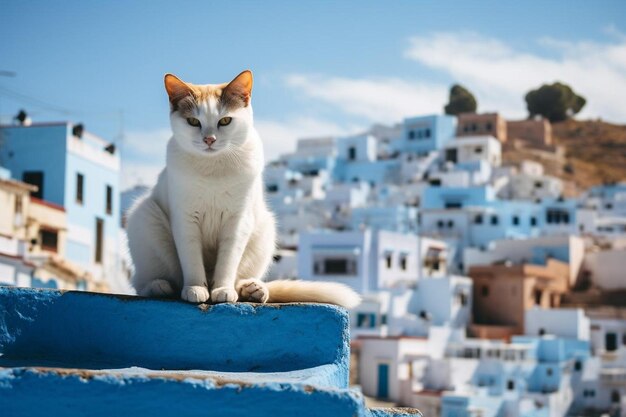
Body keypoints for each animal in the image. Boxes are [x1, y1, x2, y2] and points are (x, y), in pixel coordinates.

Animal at [125, 69, 360, 308]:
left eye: (225, 120)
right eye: (193, 121)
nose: (209, 139)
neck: (213, 168)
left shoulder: (237, 221)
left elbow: (228, 262)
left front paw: (223, 289)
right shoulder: (185, 218)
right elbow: (191, 259)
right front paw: (195, 288)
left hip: (265, 228)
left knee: (243, 278)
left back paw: (253, 289)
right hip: (145, 216)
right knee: (146, 281)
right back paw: (160, 286)